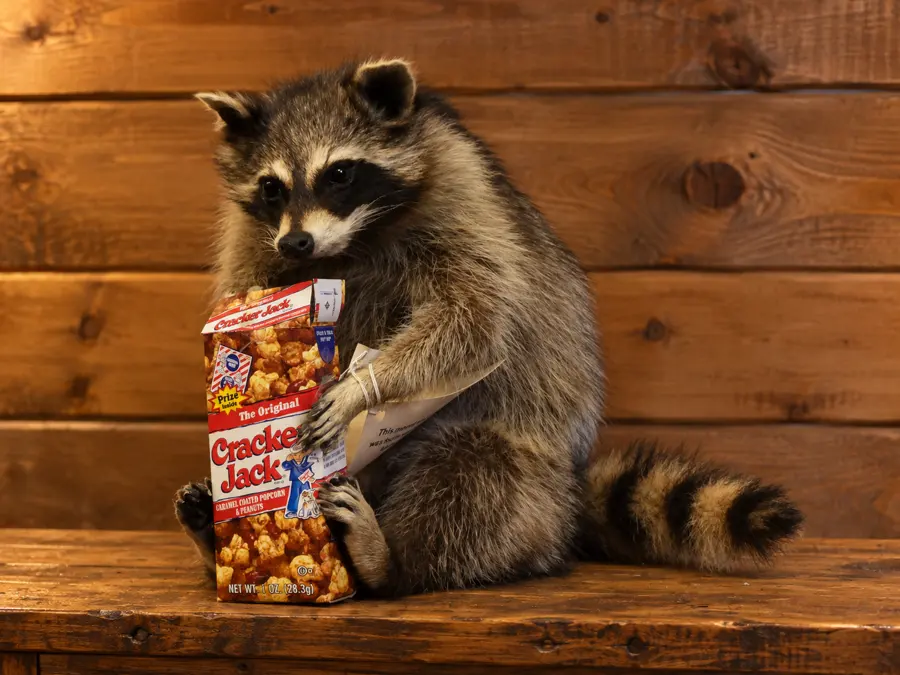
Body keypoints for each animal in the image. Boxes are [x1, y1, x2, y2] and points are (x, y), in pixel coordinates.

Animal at [175, 59, 803, 596]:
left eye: (340, 173)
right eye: (271, 187)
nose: (297, 242)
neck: (349, 241)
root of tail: (569, 496)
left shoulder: (463, 203)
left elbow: (473, 320)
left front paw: (363, 386)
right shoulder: (255, 238)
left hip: (525, 472)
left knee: (476, 472)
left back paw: (393, 561)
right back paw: (212, 536)